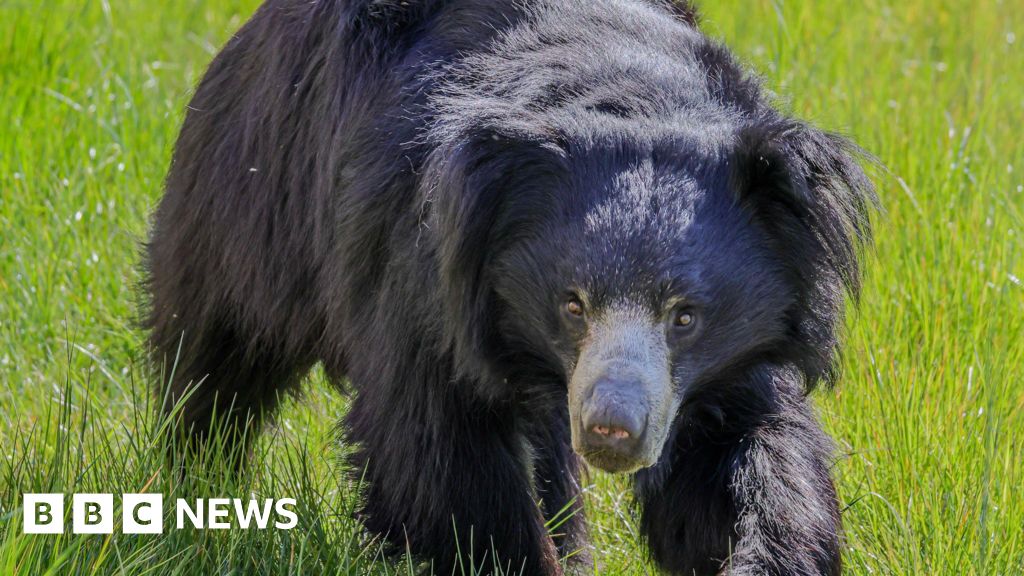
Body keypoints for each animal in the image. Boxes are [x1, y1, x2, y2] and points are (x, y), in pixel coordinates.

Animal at [144, 0, 874, 574]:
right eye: (573, 304)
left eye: (685, 316)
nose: (612, 431)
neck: (624, 90)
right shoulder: (422, 270)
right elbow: (436, 448)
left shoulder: (720, 365)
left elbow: (745, 454)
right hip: (251, 202)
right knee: (216, 357)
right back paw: (197, 483)